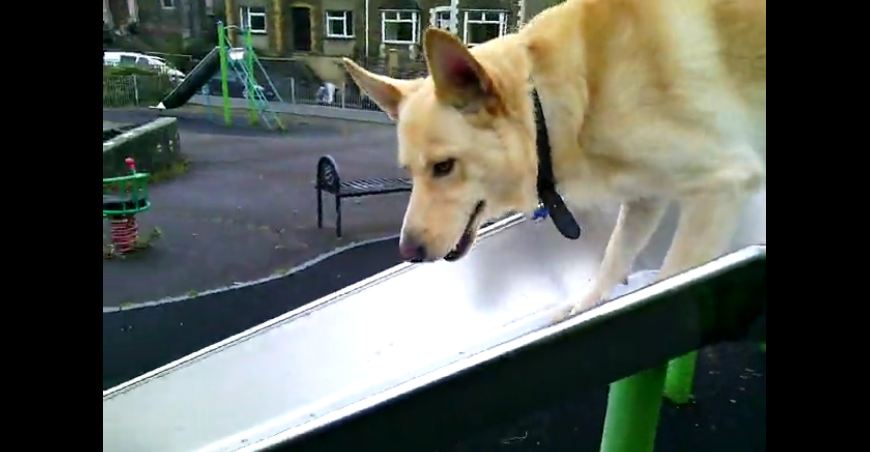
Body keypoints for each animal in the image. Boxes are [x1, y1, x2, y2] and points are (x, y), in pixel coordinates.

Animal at [344, 0, 768, 318]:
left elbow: (671, 277)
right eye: (409, 172)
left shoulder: (725, 182)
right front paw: (584, 307)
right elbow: (614, 256)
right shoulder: (645, 195)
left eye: (444, 167)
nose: (408, 252)